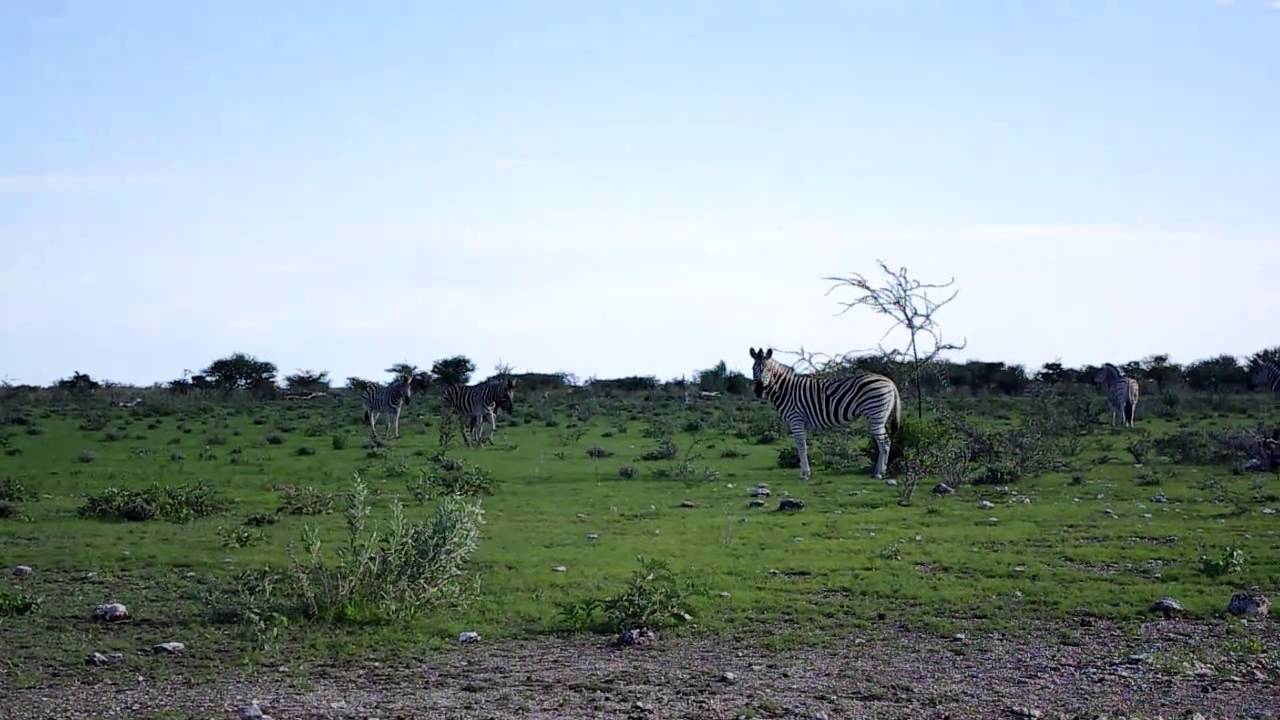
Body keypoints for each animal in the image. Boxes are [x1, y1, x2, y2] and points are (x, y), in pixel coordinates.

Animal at [749, 347, 901, 480]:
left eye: (768, 369)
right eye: (753, 369)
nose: (758, 391)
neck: (786, 391)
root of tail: (890, 382)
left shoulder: (796, 419)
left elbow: (801, 446)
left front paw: (804, 474)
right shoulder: (801, 422)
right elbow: (803, 446)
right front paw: (805, 472)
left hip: (875, 413)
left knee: (885, 443)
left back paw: (879, 473)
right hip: (879, 415)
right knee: (884, 442)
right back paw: (878, 472)